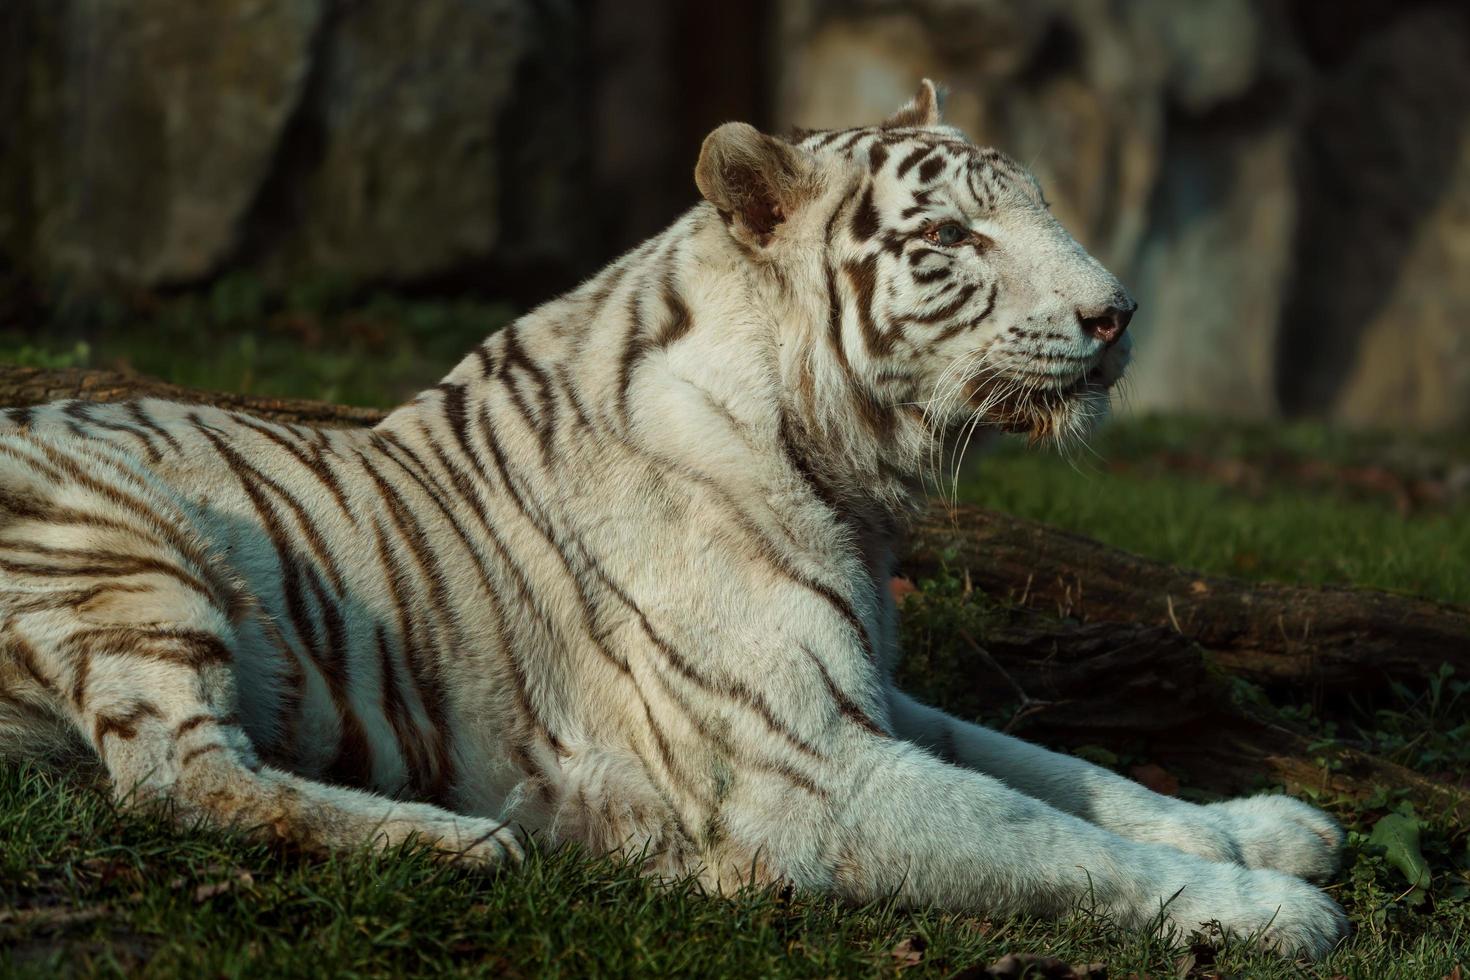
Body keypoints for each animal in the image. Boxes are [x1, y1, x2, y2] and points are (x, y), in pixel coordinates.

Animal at [0, 84, 1346, 957]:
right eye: (952, 236)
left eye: (1040, 206)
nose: (1118, 312)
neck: (850, 478)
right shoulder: (807, 773)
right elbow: (1049, 835)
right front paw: (1268, 909)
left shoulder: (867, 697)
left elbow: (1070, 772)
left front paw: (1266, 830)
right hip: (134, 553)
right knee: (176, 776)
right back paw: (459, 842)